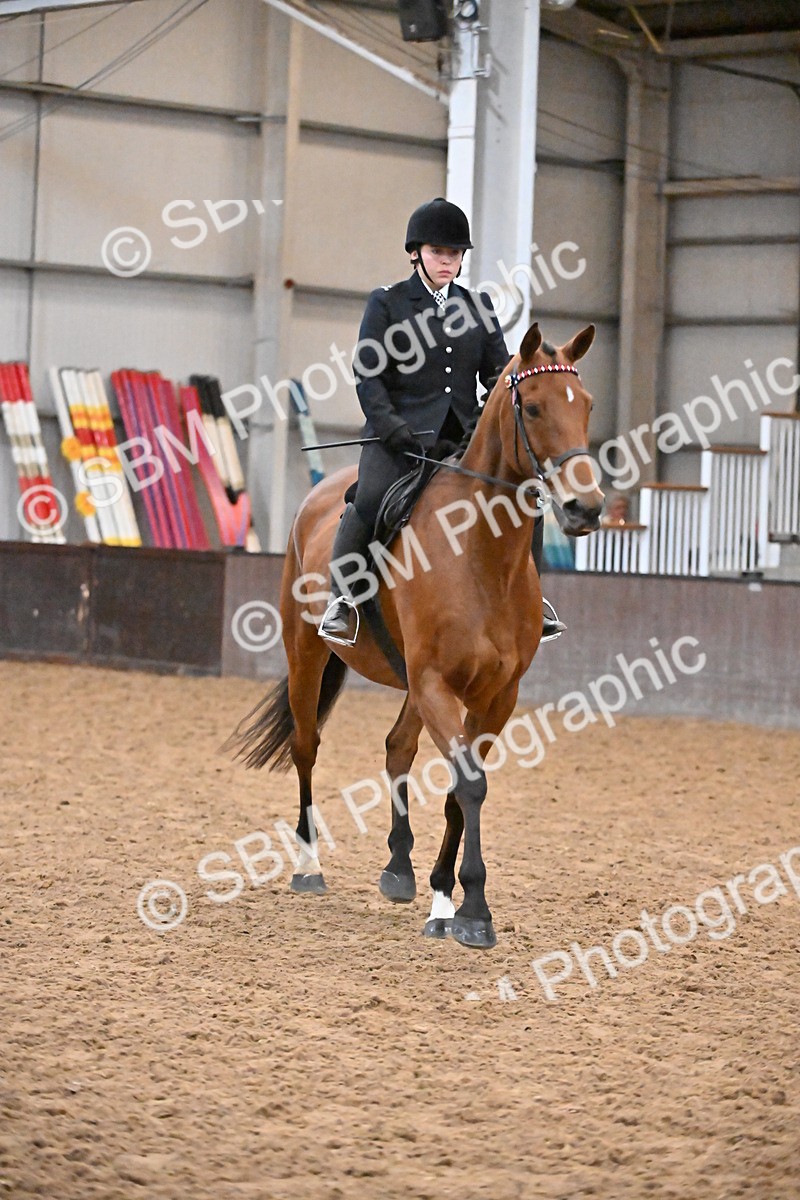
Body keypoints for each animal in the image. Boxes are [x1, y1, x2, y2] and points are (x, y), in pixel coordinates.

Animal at [229, 321, 604, 949]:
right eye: (531, 407)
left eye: (588, 406)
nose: (587, 509)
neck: (481, 556)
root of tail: (318, 495)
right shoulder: (435, 684)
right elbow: (469, 785)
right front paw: (471, 911)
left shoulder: (495, 696)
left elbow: (459, 788)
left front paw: (443, 897)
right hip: (308, 654)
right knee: (307, 746)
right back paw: (309, 869)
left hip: (412, 682)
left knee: (397, 746)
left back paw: (399, 870)